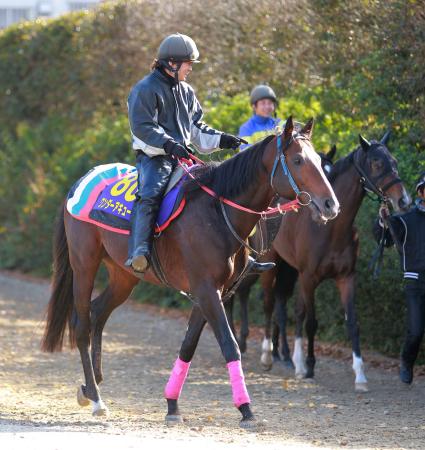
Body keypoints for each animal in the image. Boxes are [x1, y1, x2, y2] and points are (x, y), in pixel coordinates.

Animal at [40, 118, 338, 428]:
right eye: (298, 160)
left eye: (319, 160)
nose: (330, 204)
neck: (216, 213)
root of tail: (80, 182)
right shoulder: (206, 291)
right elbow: (229, 345)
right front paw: (246, 409)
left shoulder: (211, 292)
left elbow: (187, 346)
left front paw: (172, 405)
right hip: (84, 265)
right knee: (82, 324)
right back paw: (97, 399)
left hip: (123, 276)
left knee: (98, 313)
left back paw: (91, 385)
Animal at [227, 132, 410, 392]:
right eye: (376, 163)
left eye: (393, 161)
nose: (403, 199)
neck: (331, 229)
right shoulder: (309, 277)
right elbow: (311, 321)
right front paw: (309, 366)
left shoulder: (345, 278)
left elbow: (351, 323)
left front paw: (359, 374)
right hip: (270, 264)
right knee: (267, 302)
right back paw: (265, 354)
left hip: (287, 269)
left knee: (281, 303)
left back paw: (284, 355)